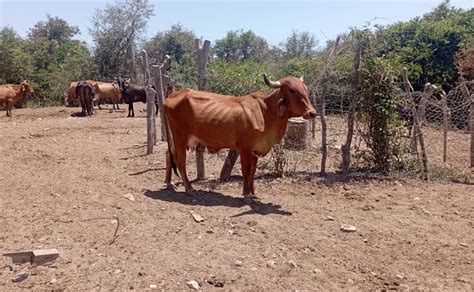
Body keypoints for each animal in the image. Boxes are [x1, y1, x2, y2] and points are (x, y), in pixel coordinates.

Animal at [164, 74, 318, 201]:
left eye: (305, 89)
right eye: (292, 90)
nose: (312, 113)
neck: (266, 112)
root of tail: (171, 96)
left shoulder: (255, 149)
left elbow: (253, 172)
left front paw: (254, 193)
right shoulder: (244, 148)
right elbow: (245, 170)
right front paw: (246, 194)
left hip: (178, 138)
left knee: (168, 154)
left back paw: (169, 183)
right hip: (179, 135)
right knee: (180, 160)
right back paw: (189, 188)